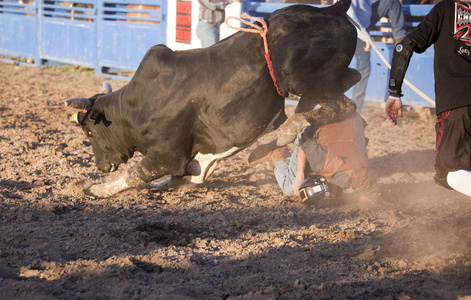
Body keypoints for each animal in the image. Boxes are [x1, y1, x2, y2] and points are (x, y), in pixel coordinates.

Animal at [65, 1, 362, 198]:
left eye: (89, 131)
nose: (100, 166)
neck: (138, 106)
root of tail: (332, 9)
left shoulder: (166, 154)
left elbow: (136, 173)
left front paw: (97, 188)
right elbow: (178, 177)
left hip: (299, 77)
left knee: (343, 105)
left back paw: (290, 128)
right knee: (351, 79)